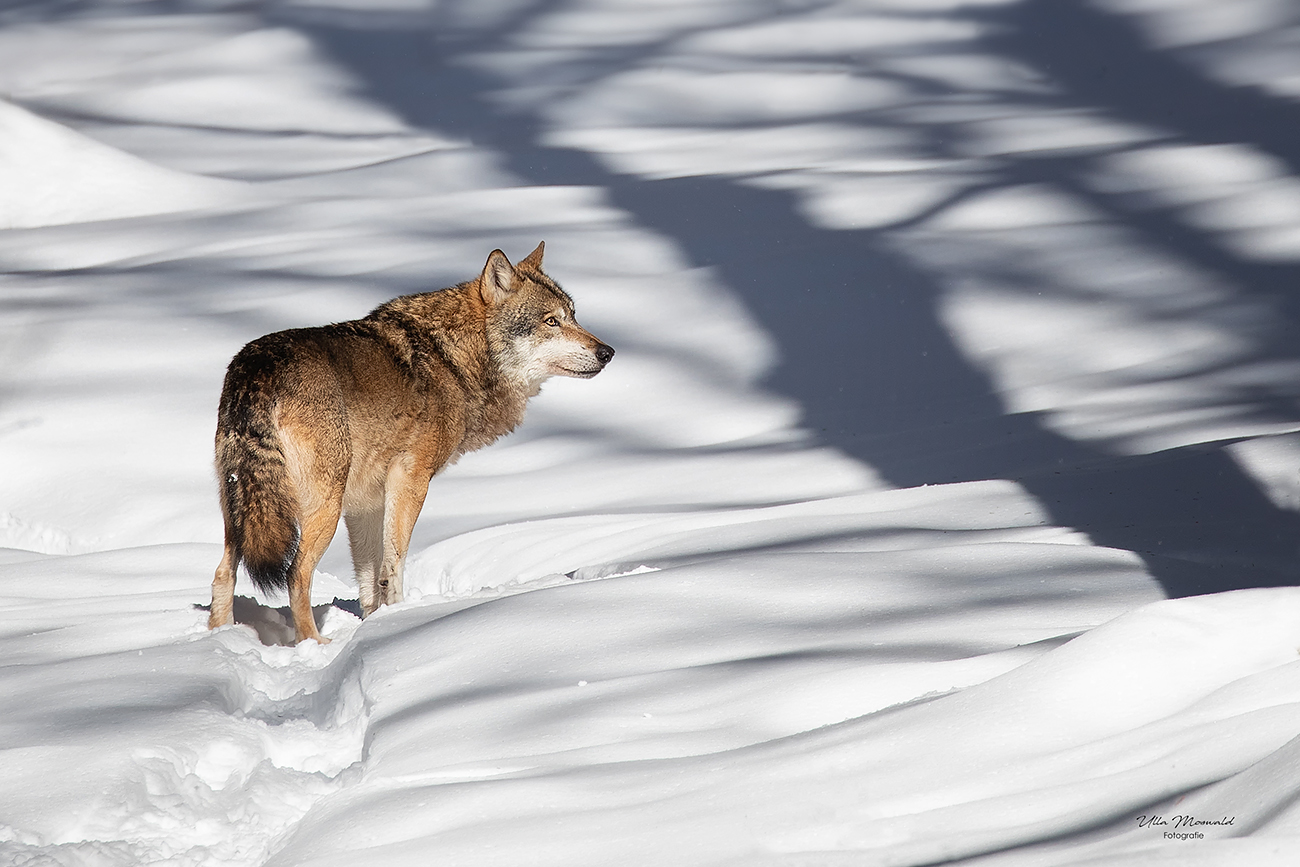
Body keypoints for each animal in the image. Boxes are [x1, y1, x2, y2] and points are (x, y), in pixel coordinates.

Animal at [208, 244, 613, 644]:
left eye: (573, 316)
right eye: (551, 321)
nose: (607, 352)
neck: (453, 359)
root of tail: (255, 370)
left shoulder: (366, 504)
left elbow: (371, 578)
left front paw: (373, 625)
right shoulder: (410, 479)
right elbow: (393, 564)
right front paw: (399, 620)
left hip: (244, 513)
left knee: (223, 573)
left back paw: (219, 639)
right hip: (322, 506)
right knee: (296, 574)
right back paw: (315, 644)